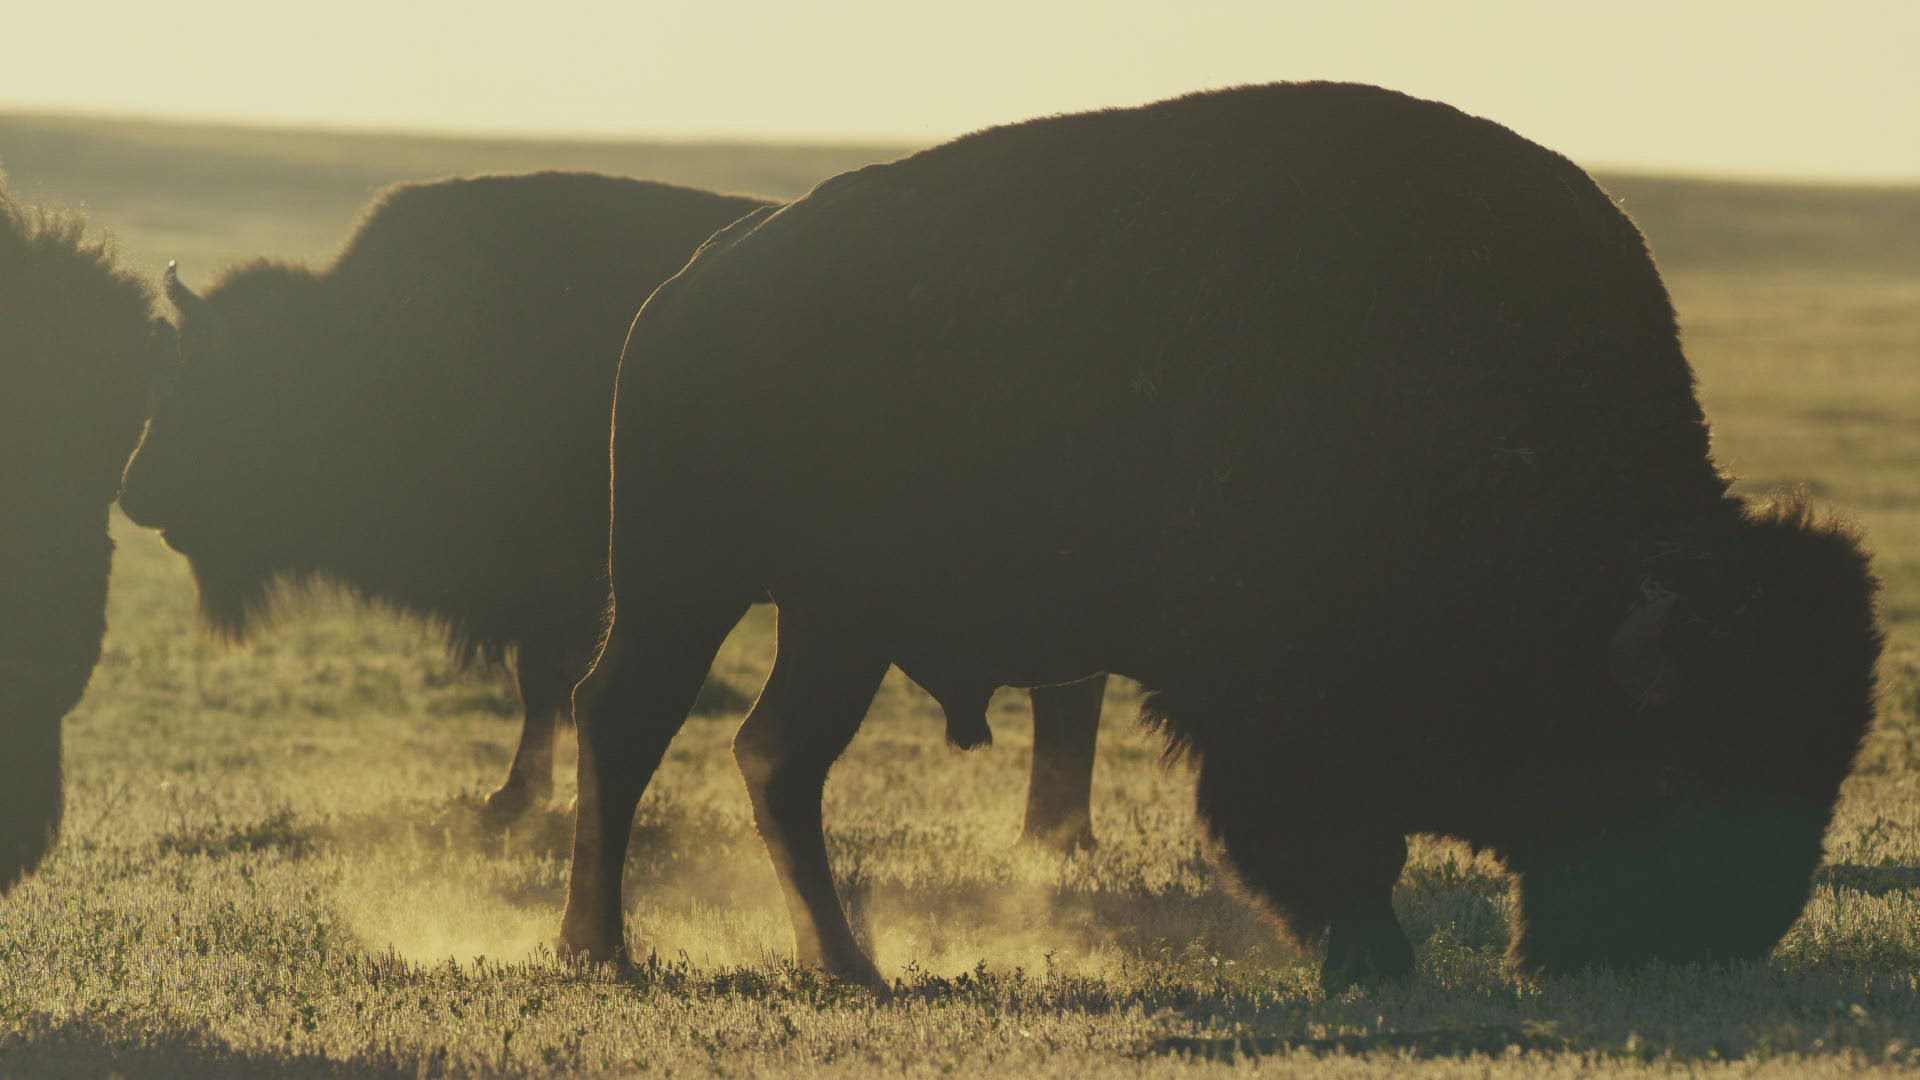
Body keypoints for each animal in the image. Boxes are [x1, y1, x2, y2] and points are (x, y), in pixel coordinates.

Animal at [117, 171, 1108, 845]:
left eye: (216, 389)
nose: (131, 492)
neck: (371, 347)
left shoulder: (558, 590)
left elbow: (547, 686)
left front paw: (514, 802)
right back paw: (1049, 837)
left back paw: (1051, 838)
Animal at [562, 82, 1883, 990]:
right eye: (1674, 769)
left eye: (1820, 764)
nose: (1712, 941)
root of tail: (689, 289)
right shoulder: (1276, 713)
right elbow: (1327, 841)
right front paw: (1372, 962)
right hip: (689, 585)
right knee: (627, 725)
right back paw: (599, 950)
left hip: (838, 620)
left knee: (778, 760)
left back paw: (847, 965)